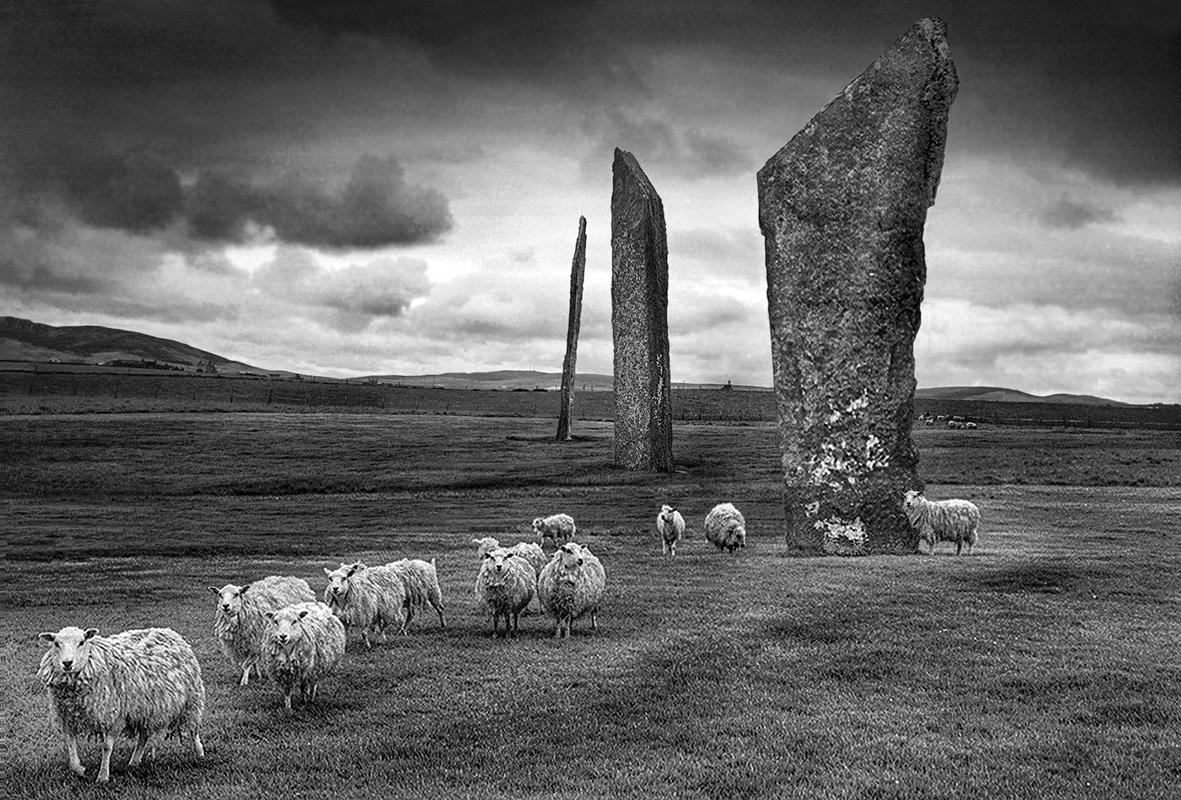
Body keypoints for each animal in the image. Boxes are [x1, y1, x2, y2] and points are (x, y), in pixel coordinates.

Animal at [35, 623, 206, 779]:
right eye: (56, 643)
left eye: (82, 642)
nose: (67, 663)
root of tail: (168, 631)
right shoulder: (67, 717)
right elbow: (70, 745)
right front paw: (79, 769)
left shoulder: (114, 716)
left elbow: (106, 747)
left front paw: (103, 776)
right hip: (143, 708)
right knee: (143, 736)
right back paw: (134, 762)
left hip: (191, 700)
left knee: (193, 730)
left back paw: (200, 754)